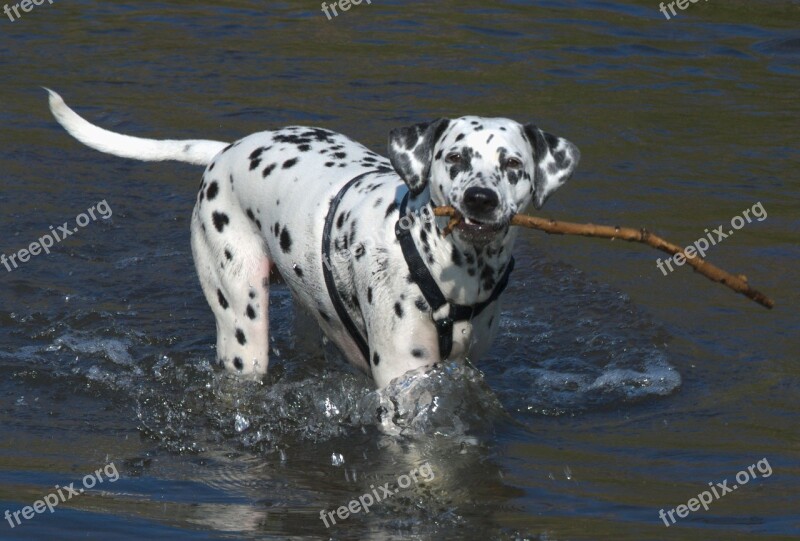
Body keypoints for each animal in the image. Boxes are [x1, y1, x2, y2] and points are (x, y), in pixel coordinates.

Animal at [47, 90, 580, 390]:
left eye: (512, 165)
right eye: (455, 159)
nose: (480, 198)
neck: (452, 275)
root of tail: (227, 150)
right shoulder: (403, 380)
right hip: (242, 332)